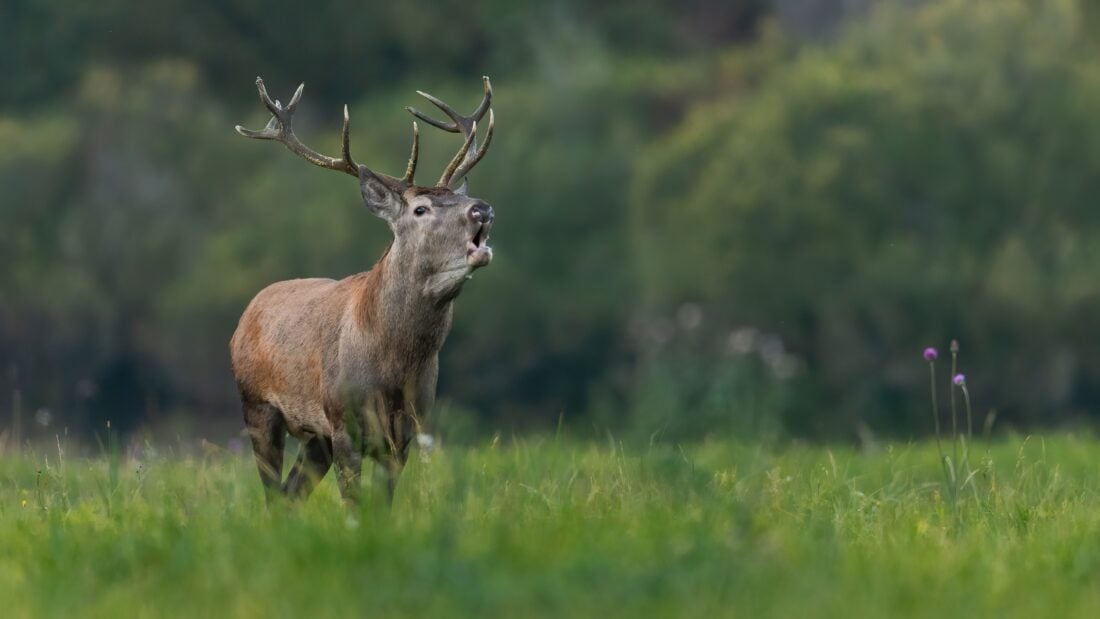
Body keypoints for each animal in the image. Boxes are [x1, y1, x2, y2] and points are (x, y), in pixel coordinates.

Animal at [229, 75, 495, 506]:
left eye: (461, 196)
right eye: (420, 208)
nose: (482, 209)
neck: (392, 367)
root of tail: (246, 313)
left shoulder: (406, 432)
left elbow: (382, 505)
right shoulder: (343, 422)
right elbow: (354, 504)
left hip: (314, 438)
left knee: (289, 495)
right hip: (257, 405)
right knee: (272, 496)